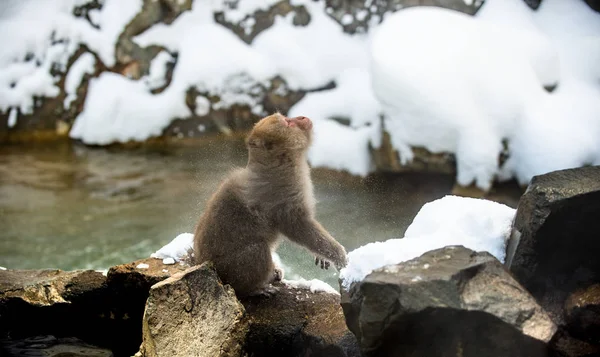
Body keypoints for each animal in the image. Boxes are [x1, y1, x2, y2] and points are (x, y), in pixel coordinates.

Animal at [193, 112, 346, 296]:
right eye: (288, 122)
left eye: (287, 117)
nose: (302, 117)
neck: (280, 160)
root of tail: (204, 263)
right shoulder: (285, 191)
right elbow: (298, 226)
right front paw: (337, 254)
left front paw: (323, 256)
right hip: (231, 269)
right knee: (257, 249)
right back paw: (252, 289)